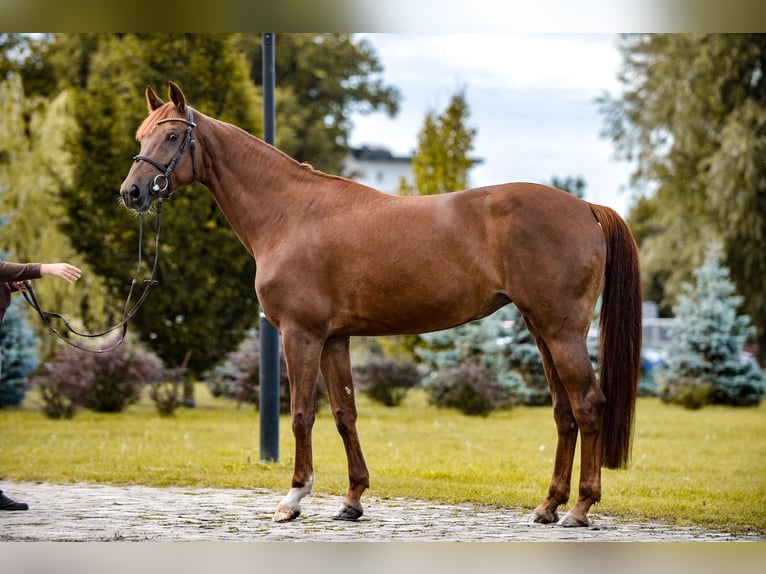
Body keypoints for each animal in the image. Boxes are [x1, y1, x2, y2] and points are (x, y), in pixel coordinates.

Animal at [120, 83, 640, 528]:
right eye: (142, 135)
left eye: (172, 135)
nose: (132, 192)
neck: (292, 214)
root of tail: (586, 208)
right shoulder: (334, 339)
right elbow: (344, 414)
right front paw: (352, 501)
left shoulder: (301, 334)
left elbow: (302, 414)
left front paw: (293, 498)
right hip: (541, 330)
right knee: (564, 411)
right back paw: (549, 505)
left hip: (562, 332)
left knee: (588, 404)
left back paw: (580, 508)